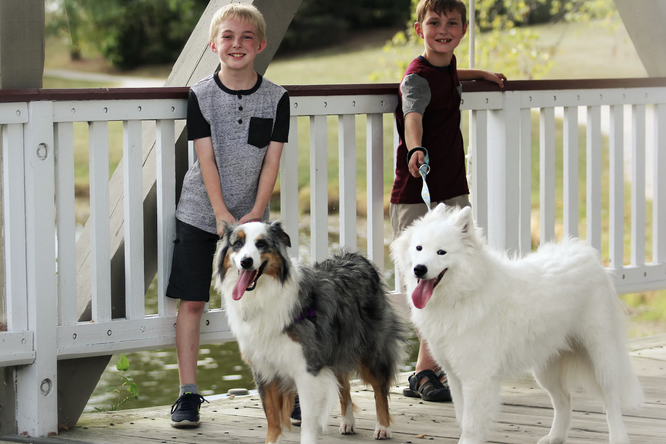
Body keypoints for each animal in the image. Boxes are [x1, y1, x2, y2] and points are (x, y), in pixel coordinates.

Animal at [392, 206, 640, 444]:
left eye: (441, 252)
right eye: (419, 248)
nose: (419, 269)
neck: (464, 293)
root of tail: (587, 255)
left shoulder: (475, 377)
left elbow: (471, 424)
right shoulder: (454, 377)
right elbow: (462, 419)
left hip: (601, 357)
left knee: (611, 401)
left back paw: (618, 438)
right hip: (546, 367)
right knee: (564, 400)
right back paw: (555, 437)